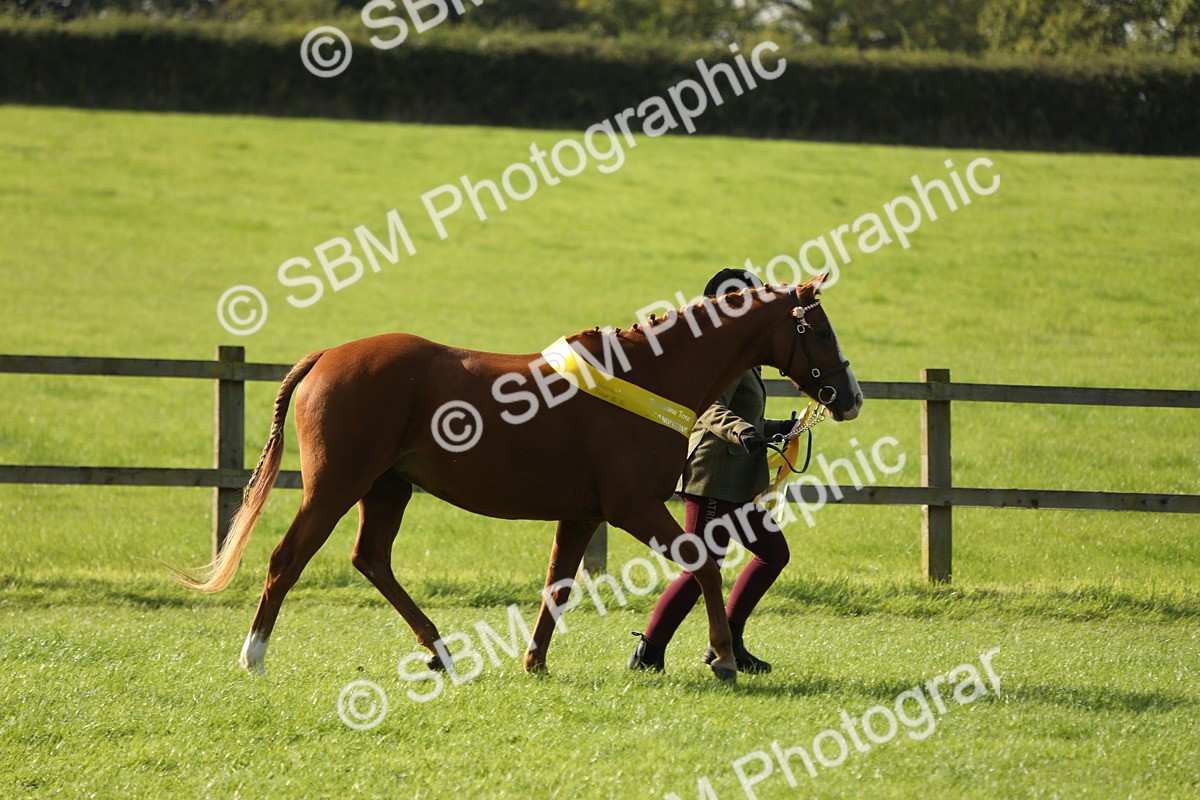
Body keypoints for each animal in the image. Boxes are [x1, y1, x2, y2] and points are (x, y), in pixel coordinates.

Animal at [172, 275, 862, 682]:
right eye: (819, 328)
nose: (851, 396)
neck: (647, 374)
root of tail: (327, 357)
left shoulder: (583, 514)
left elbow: (558, 585)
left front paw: (535, 660)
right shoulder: (634, 508)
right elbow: (705, 566)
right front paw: (722, 657)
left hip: (387, 487)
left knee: (371, 560)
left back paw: (440, 651)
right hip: (336, 487)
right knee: (288, 560)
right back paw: (255, 656)